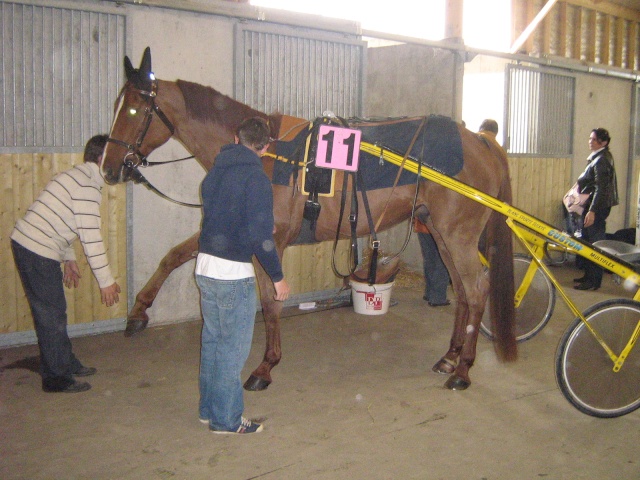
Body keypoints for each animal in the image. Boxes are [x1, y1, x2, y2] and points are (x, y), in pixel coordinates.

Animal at [102, 47, 516, 390]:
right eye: (117, 105)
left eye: (134, 110)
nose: (109, 167)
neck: (262, 157)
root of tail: (481, 142)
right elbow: (172, 256)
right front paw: (137, 313)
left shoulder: (270, 241)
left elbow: (270, 301)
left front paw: (266, 366)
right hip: (441, 234)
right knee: (461, 289)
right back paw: (449, 357)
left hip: (457, 236)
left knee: (476, 289)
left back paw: (463, 370)